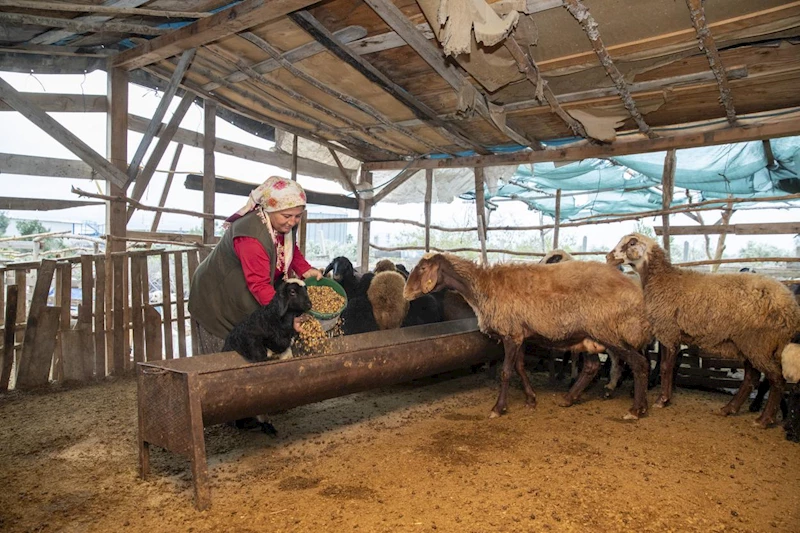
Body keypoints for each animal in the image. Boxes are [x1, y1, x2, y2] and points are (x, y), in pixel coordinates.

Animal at [404, 254, 652, 420]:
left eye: (423, 267)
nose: (405, 293)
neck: (482, 287)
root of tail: (636, 292)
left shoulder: (510, 334)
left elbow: (505, 372)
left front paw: (498, 408)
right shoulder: (520, 334)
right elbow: (520, 367)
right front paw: (531, 399)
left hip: (609, 332)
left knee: (640, 364)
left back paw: (637, 409)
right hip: (586, 336)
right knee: (592, 367)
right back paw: (569, 399)